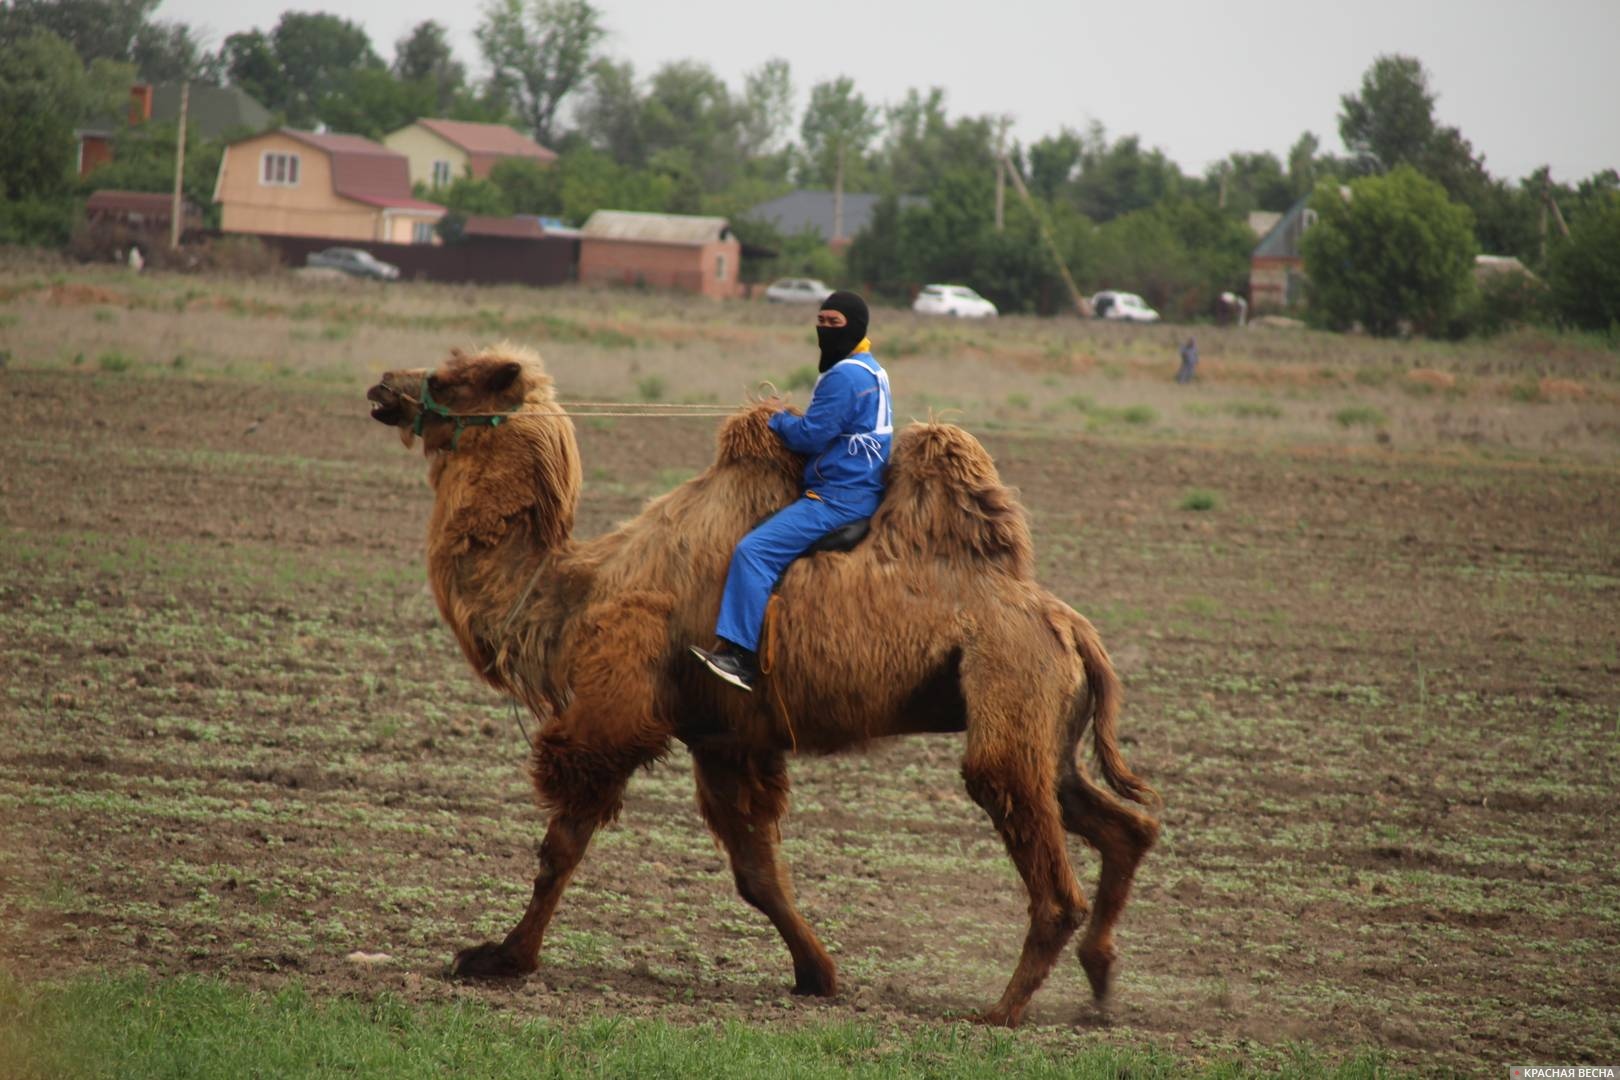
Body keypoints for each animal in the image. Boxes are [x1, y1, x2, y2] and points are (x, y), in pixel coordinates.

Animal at [362, 341, 1159, 1029]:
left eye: (454, 378)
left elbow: (561, 847)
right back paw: (1100, 981)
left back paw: (1004, 1010)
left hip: (1008, 682)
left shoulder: (613, 709)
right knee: (1118, 821)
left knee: (1035, 844)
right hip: (1047, 718)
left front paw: (498, 958)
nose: (382, 387)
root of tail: (1070, 626)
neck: (570, 592)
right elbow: (756, 873)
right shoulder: (724, 737)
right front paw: (818, 974)